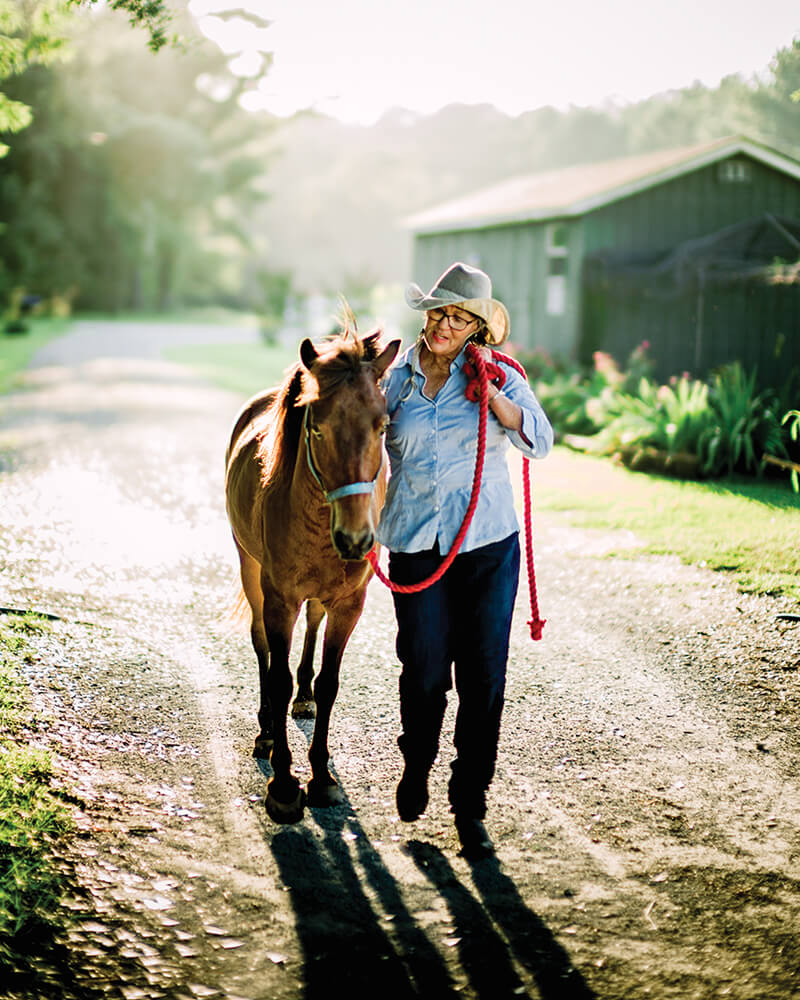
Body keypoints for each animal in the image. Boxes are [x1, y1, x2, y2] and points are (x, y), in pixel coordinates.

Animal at [224, 327, 400, 823]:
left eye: (382, 426)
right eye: (317, 427)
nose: (356, 538)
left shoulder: (349, 604)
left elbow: (328, 684)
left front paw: (321, 777)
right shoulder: (279, 599)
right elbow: (277, 674)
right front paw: (284, 784)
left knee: (313, 626)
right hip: (250, 570)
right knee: (261, 644)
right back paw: (267, 728)